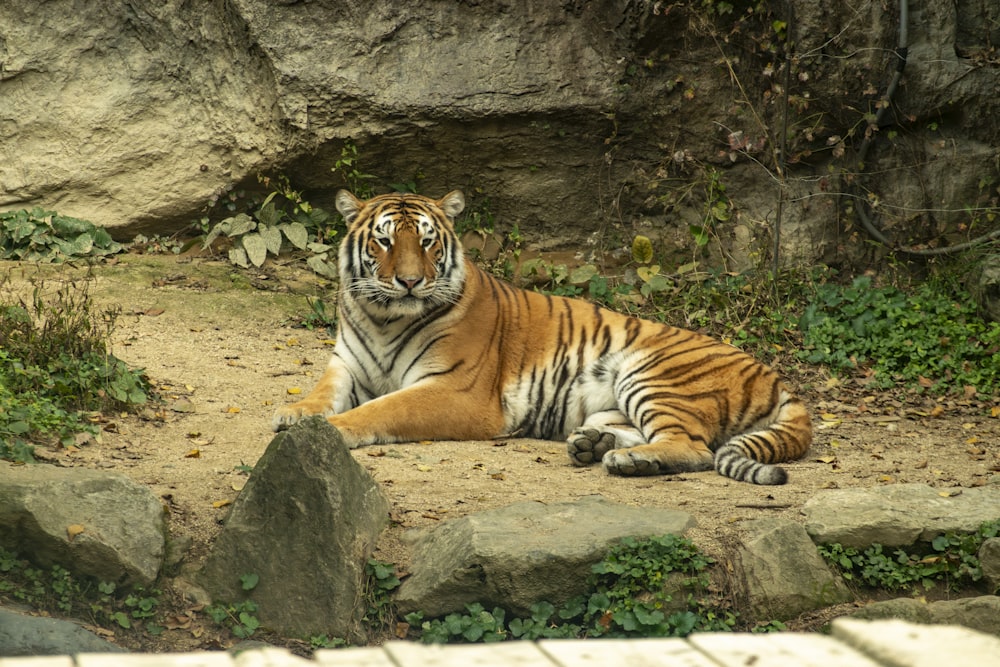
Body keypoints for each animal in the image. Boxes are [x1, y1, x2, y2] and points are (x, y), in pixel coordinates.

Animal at [274, 188, 812, 486]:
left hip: (653, 374)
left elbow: (383, 409)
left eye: (426, 241)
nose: (409, 281)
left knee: (695, 447)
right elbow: (322, 391)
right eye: (384, 241)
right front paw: (294, 413)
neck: (383, 318)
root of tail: (774, 375)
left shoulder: (456, 391)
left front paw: (332, 430)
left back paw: (627, 460)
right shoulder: (347, 364)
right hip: (611, 399)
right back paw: (592, 446)